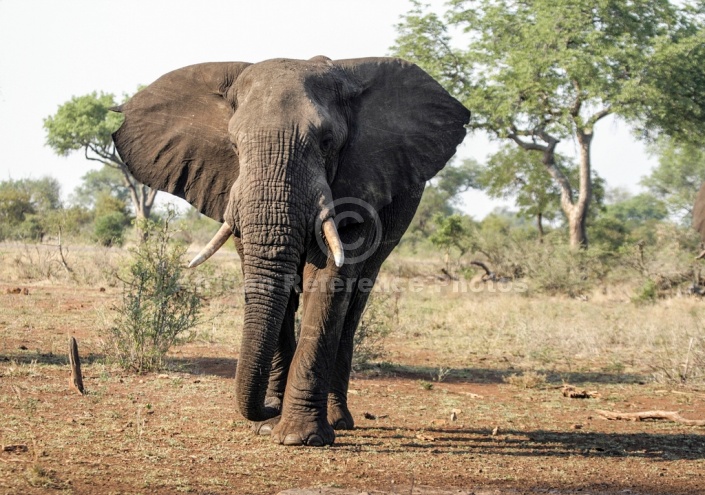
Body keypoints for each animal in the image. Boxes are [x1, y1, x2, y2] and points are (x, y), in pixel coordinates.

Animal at [113, 55, 470, 446]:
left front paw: (301, 437)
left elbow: (328, 279)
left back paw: (337, 419)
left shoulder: (359, 180)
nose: (267, 410)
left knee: (354, 304)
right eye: (234, 146)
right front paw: (269, 424)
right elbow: (267, 281)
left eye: (327, 142)